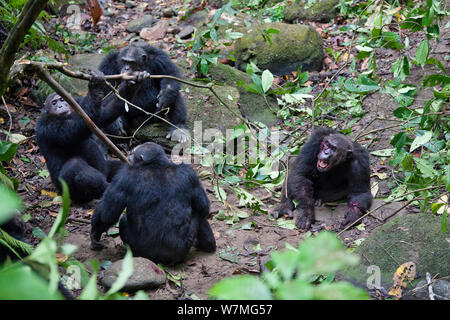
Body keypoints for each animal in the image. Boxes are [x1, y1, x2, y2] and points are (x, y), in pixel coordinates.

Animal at [35, 70, 148, 205]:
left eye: (62, 99)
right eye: (54, 103)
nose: (60, 106)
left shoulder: (77, 104)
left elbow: (101, 114)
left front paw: (132, 83)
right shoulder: (48, 126)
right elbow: (73, 130)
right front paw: (96, 87)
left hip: (106, 168)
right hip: (68, 192)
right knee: (74, 165)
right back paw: (107, 188)